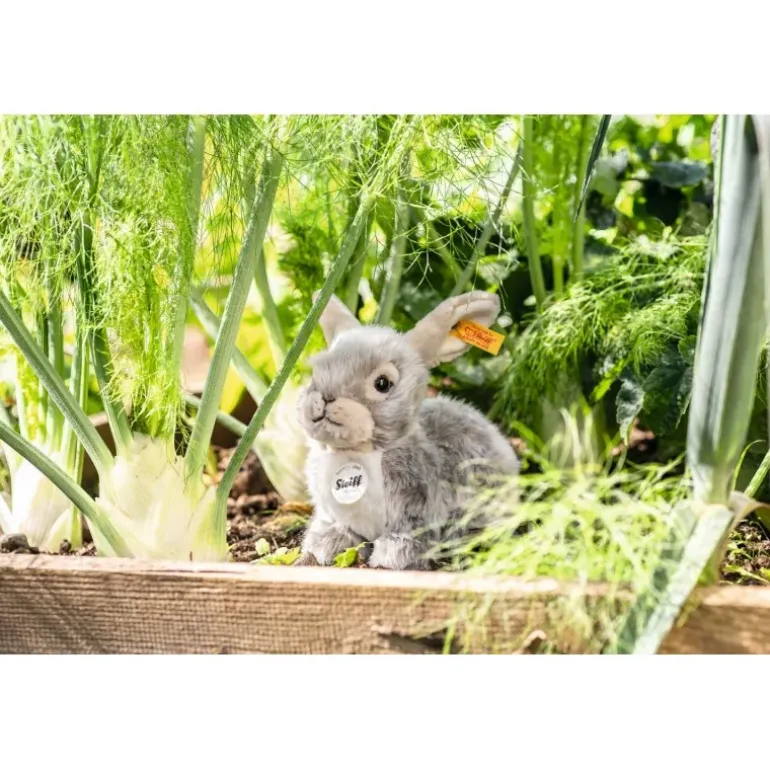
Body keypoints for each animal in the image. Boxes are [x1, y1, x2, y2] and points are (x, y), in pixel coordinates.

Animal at [294, 290, 519, 570]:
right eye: (318, 370)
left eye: (382, 383)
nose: (325, 397)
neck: (358, 453)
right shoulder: (332, 513)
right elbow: (335, 529)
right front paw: (322, 548)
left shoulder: (412, 510)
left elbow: (406, 536)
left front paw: (390, 558)